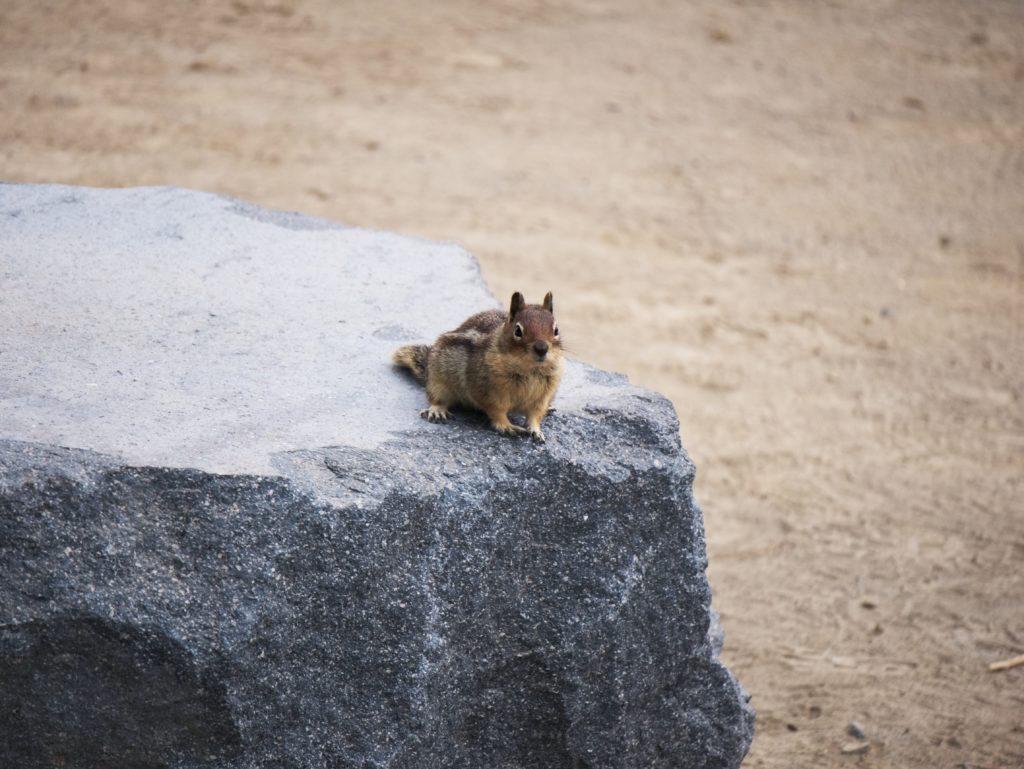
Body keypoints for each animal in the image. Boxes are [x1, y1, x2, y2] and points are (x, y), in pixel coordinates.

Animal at [393, 290, 569, 442]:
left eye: (556, 330)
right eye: (518, 330)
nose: (542, 348)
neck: (531, 370)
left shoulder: (543, 397)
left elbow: (535, 414)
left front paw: (536, 430)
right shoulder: (488, 392)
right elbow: (497, 411)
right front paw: (507, 426)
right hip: (438, 380)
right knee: (436, 397)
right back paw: (437, 411)